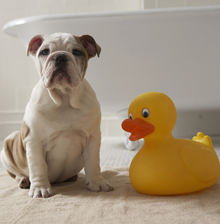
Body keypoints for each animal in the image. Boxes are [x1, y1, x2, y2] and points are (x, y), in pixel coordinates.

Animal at [0, 32, 113, 198]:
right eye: (44, 52)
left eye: (77, 52)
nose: (60, 57)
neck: (64, 97)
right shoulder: (34, 141)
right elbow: (38, 167)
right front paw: (40, 189)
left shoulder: (93, 138)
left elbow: (93, 163)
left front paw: (97, 182)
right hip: (8, 146)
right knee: (15, 173)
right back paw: (24, 180)